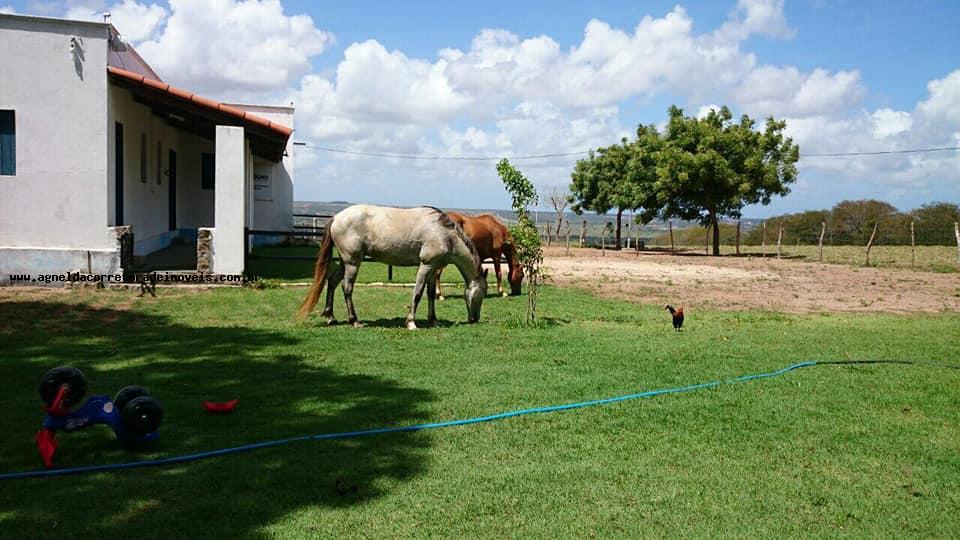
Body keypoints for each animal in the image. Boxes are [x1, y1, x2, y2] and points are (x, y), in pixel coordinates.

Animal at [296, 204, 488, 326]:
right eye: (483, 293)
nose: (474, 319)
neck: (444, 234)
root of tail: (336, 217)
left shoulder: (434, 267)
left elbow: (431, 294)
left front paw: (433, 320)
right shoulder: (425, 265)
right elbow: (418, 292)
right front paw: (411, 322)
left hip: (346, 261)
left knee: (332, 282)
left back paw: (331, 317)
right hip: (352, 262)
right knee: (346, 287)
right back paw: (354, 320)